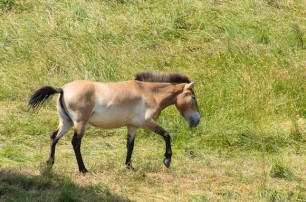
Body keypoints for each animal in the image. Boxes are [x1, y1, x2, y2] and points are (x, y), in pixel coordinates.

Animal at [28, 72, 201, 173]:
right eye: (193, 97)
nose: (196, 120)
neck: (149, 93)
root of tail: (62, 89)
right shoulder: (147, 122)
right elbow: (166, 135)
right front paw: (167, 160)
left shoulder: (132, 126)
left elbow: (130, 145)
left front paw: (129, 166)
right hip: (80, 123)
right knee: (75, 142)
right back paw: (83, 169)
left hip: (66, 122)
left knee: (53, 138)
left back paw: (50, 163)